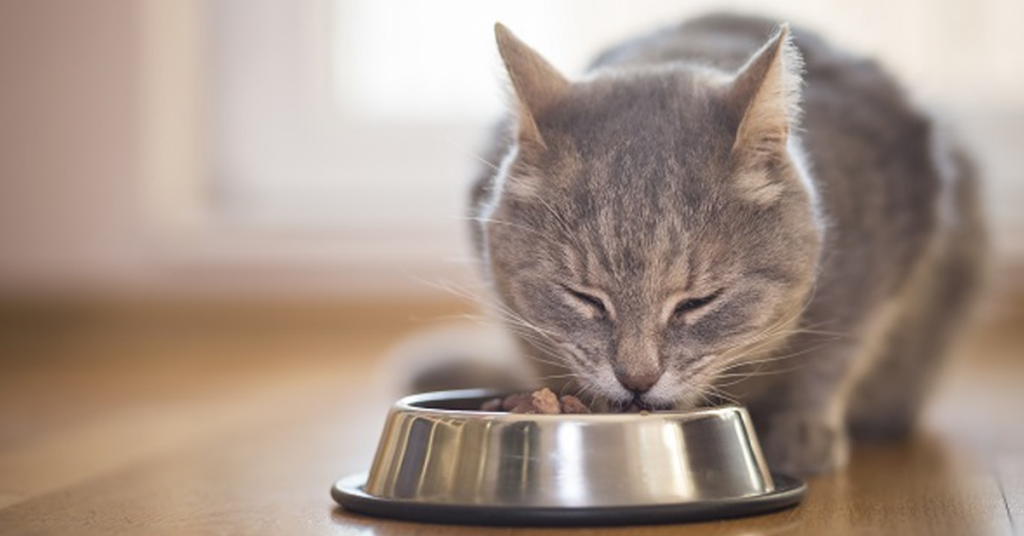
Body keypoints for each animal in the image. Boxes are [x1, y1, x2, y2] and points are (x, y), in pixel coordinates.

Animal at [456, 11, 983, 473]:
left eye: (698, 302)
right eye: (584, 298)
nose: (637, 379)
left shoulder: (885, 253)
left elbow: (835, 355)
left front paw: (803, 427)